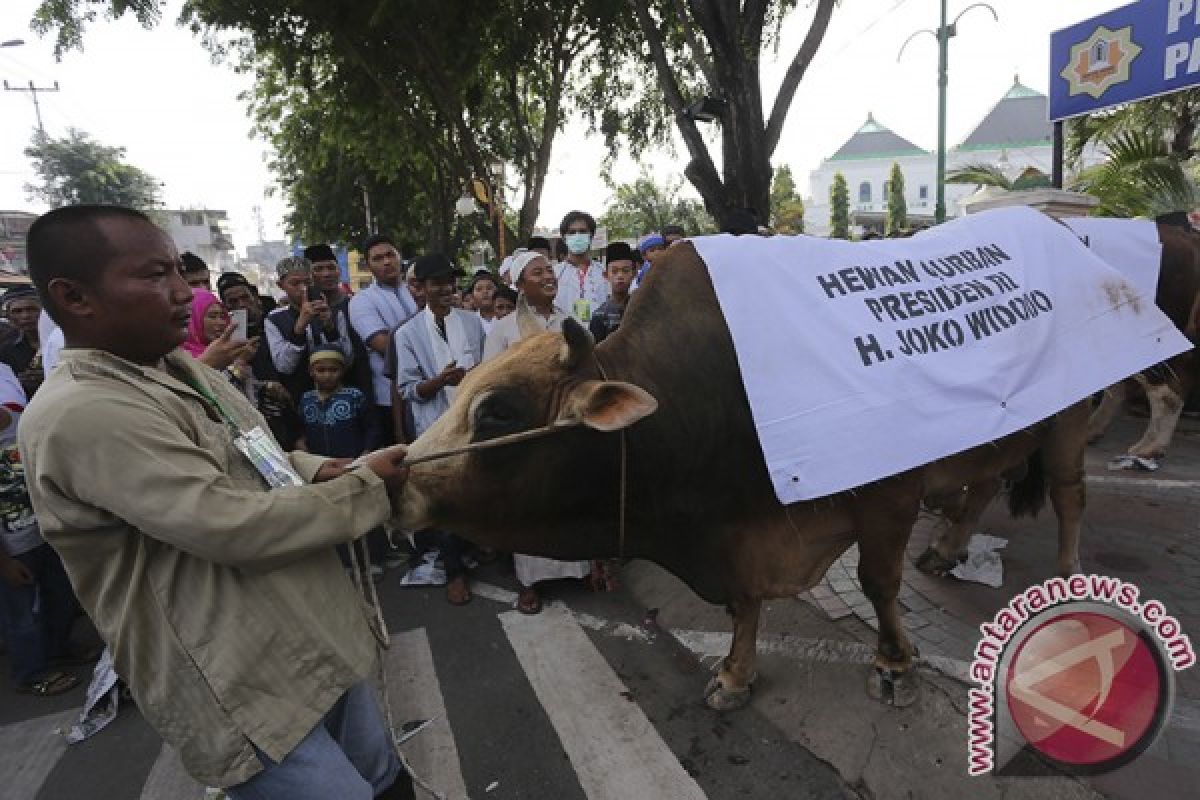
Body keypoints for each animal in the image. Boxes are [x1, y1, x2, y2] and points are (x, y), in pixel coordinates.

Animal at [400, 242, 1089, 705]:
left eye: (496, 411)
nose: (398, 476)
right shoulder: (736, 530)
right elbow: (743, 603)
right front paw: (734, 674)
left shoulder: (889, 493)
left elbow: (878, 583)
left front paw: (894, 665)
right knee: (985, 484)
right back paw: (947, 550)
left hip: (1070, 418)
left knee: (1067, 495)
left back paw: (1068, 576)